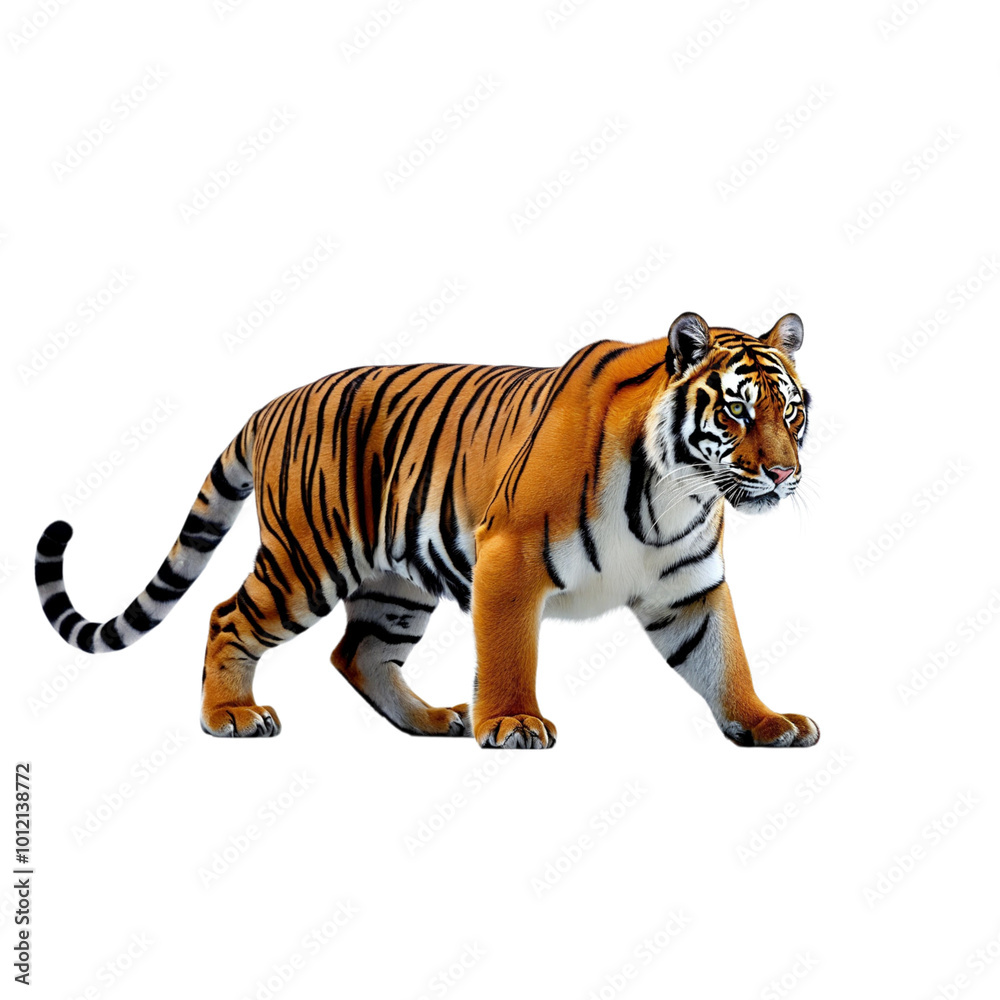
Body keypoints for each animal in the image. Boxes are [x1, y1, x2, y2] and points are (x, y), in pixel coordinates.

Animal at [35, 311, 819, 749]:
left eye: (792, 409)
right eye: (738, 411)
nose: (784, 474)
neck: (674, 493)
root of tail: (272, 404)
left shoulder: (689, 589)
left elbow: (725, 660)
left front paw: (765, 722)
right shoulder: (510, 559)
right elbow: (509, 655)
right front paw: (512, 724)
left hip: (394, 586)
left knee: (358, 654)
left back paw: (433, 720)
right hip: (305, 565)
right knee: (228, 616)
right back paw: (230, 714)